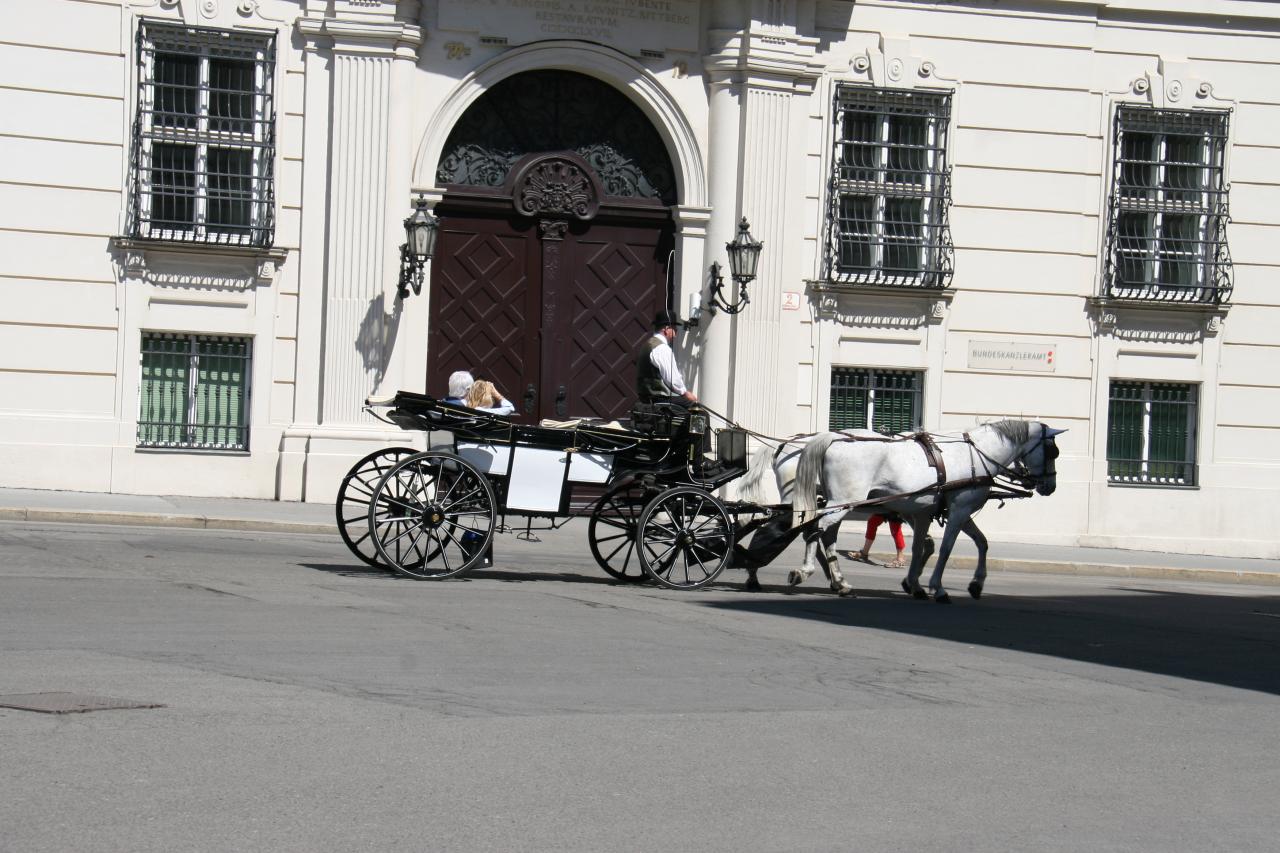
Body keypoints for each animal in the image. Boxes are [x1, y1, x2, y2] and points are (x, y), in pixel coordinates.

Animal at [788, 422, 1059, 601]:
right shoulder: (959, 511)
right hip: (844, 501)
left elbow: (976, 543)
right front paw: (936, 587)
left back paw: (839, 581)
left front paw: (970, 584)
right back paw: (805, 571)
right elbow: (946, 549)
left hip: (841, 503)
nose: (1051, 486)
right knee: (814, 529)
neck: (976, 455)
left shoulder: (934, 513)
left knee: (826, 535)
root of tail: (833, 437)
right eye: (1052, 452)